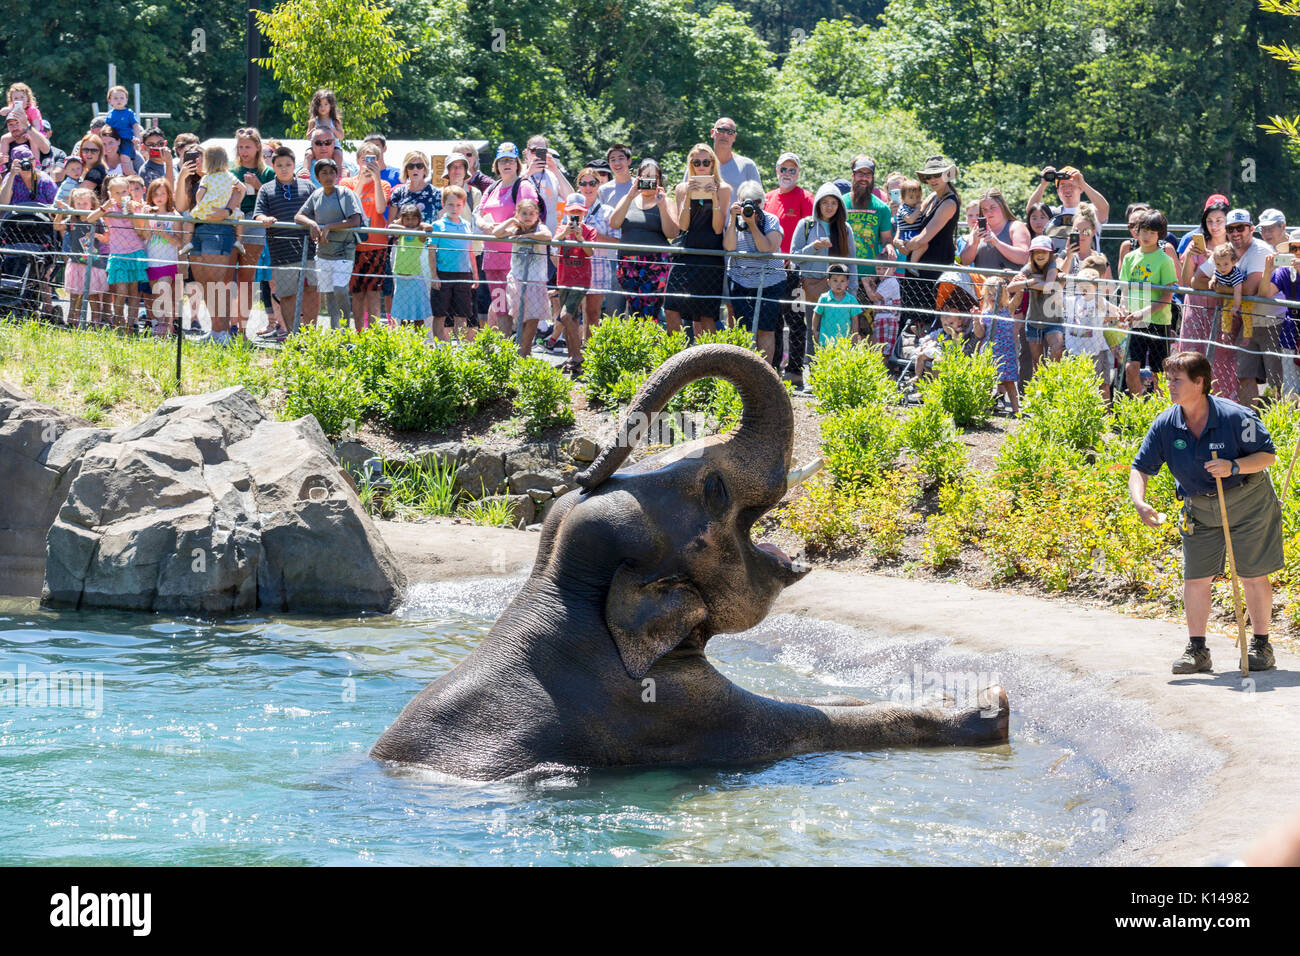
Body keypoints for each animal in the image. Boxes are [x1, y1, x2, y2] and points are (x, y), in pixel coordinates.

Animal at [371, 343, 1008, 780]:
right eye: (714, 489)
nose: (585, 472)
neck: (557, 591)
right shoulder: (663, 708)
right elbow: (799, 722)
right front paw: (985, 706)